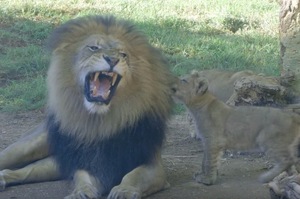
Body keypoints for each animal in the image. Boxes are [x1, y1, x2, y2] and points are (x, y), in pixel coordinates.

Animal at [0, 15, 173, 199]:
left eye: (123, 54)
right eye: (93, 48)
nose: (112, 60)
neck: (100, 122)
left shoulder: (152, 164)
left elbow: (133, 176)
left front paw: (123, 191)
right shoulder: (86, 161)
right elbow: (82, 178)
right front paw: (81, 192)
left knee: (24, 171)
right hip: (28, 146)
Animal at [171, 70, 300, 185]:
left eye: (183, 80)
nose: (170, 84)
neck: (196, 107)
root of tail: (292, 115)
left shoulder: (213, 140)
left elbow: (209, 161)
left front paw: (207, 180)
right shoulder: (207, 140)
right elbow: (205, 160)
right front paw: (204, 175)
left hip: (268, 140)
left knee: (288, 160)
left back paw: (266, 177)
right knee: (292, 161)